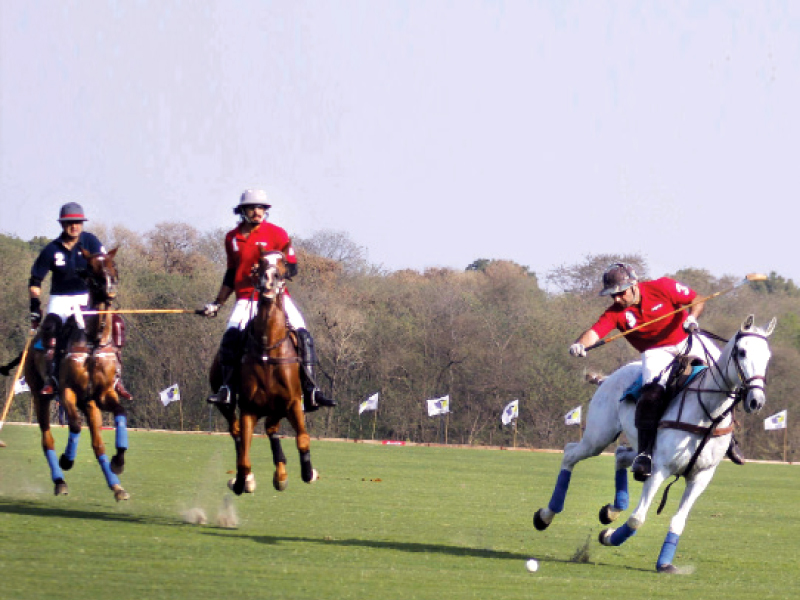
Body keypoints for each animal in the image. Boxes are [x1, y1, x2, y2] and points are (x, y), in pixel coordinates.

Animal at [23, 248, 130, 502]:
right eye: (91, 268)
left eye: (113, 266)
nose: (110, 289)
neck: (93, 340)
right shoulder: (67, 391)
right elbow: (74, 425)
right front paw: (67, 460)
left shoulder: (104, 393)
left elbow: (121, 413)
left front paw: (119, 461)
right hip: (40, 396)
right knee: (47, 440)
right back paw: (60, 481)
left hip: (89, 402)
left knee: (98, 444)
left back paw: (116, 486)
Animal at [209, 248, 318, 496]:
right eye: (259, 262)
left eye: (283, 261)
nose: (269, 278)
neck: (269, 346)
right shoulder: (249, 408)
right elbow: (244, 458)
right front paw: (242, 481)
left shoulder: (292, 401)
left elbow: (303, 438)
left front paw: (308, 472)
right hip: (228, 404)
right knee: (238, 432)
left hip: (277, 406)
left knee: (271, 428)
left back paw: (281, 474)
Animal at [536, 314, 772, 572]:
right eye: (742, 352)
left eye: (768, 355)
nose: (756, 401)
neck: (708, 411)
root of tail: (608, 378)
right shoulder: (660, 468)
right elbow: (637, 519)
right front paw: (608, 537)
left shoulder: (701, 476)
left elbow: (678, 521)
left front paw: (665, 563)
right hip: (598, 437)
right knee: (571, 453)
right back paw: (546, 516)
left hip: (639, 447)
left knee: (622, 454)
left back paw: (611, 510)